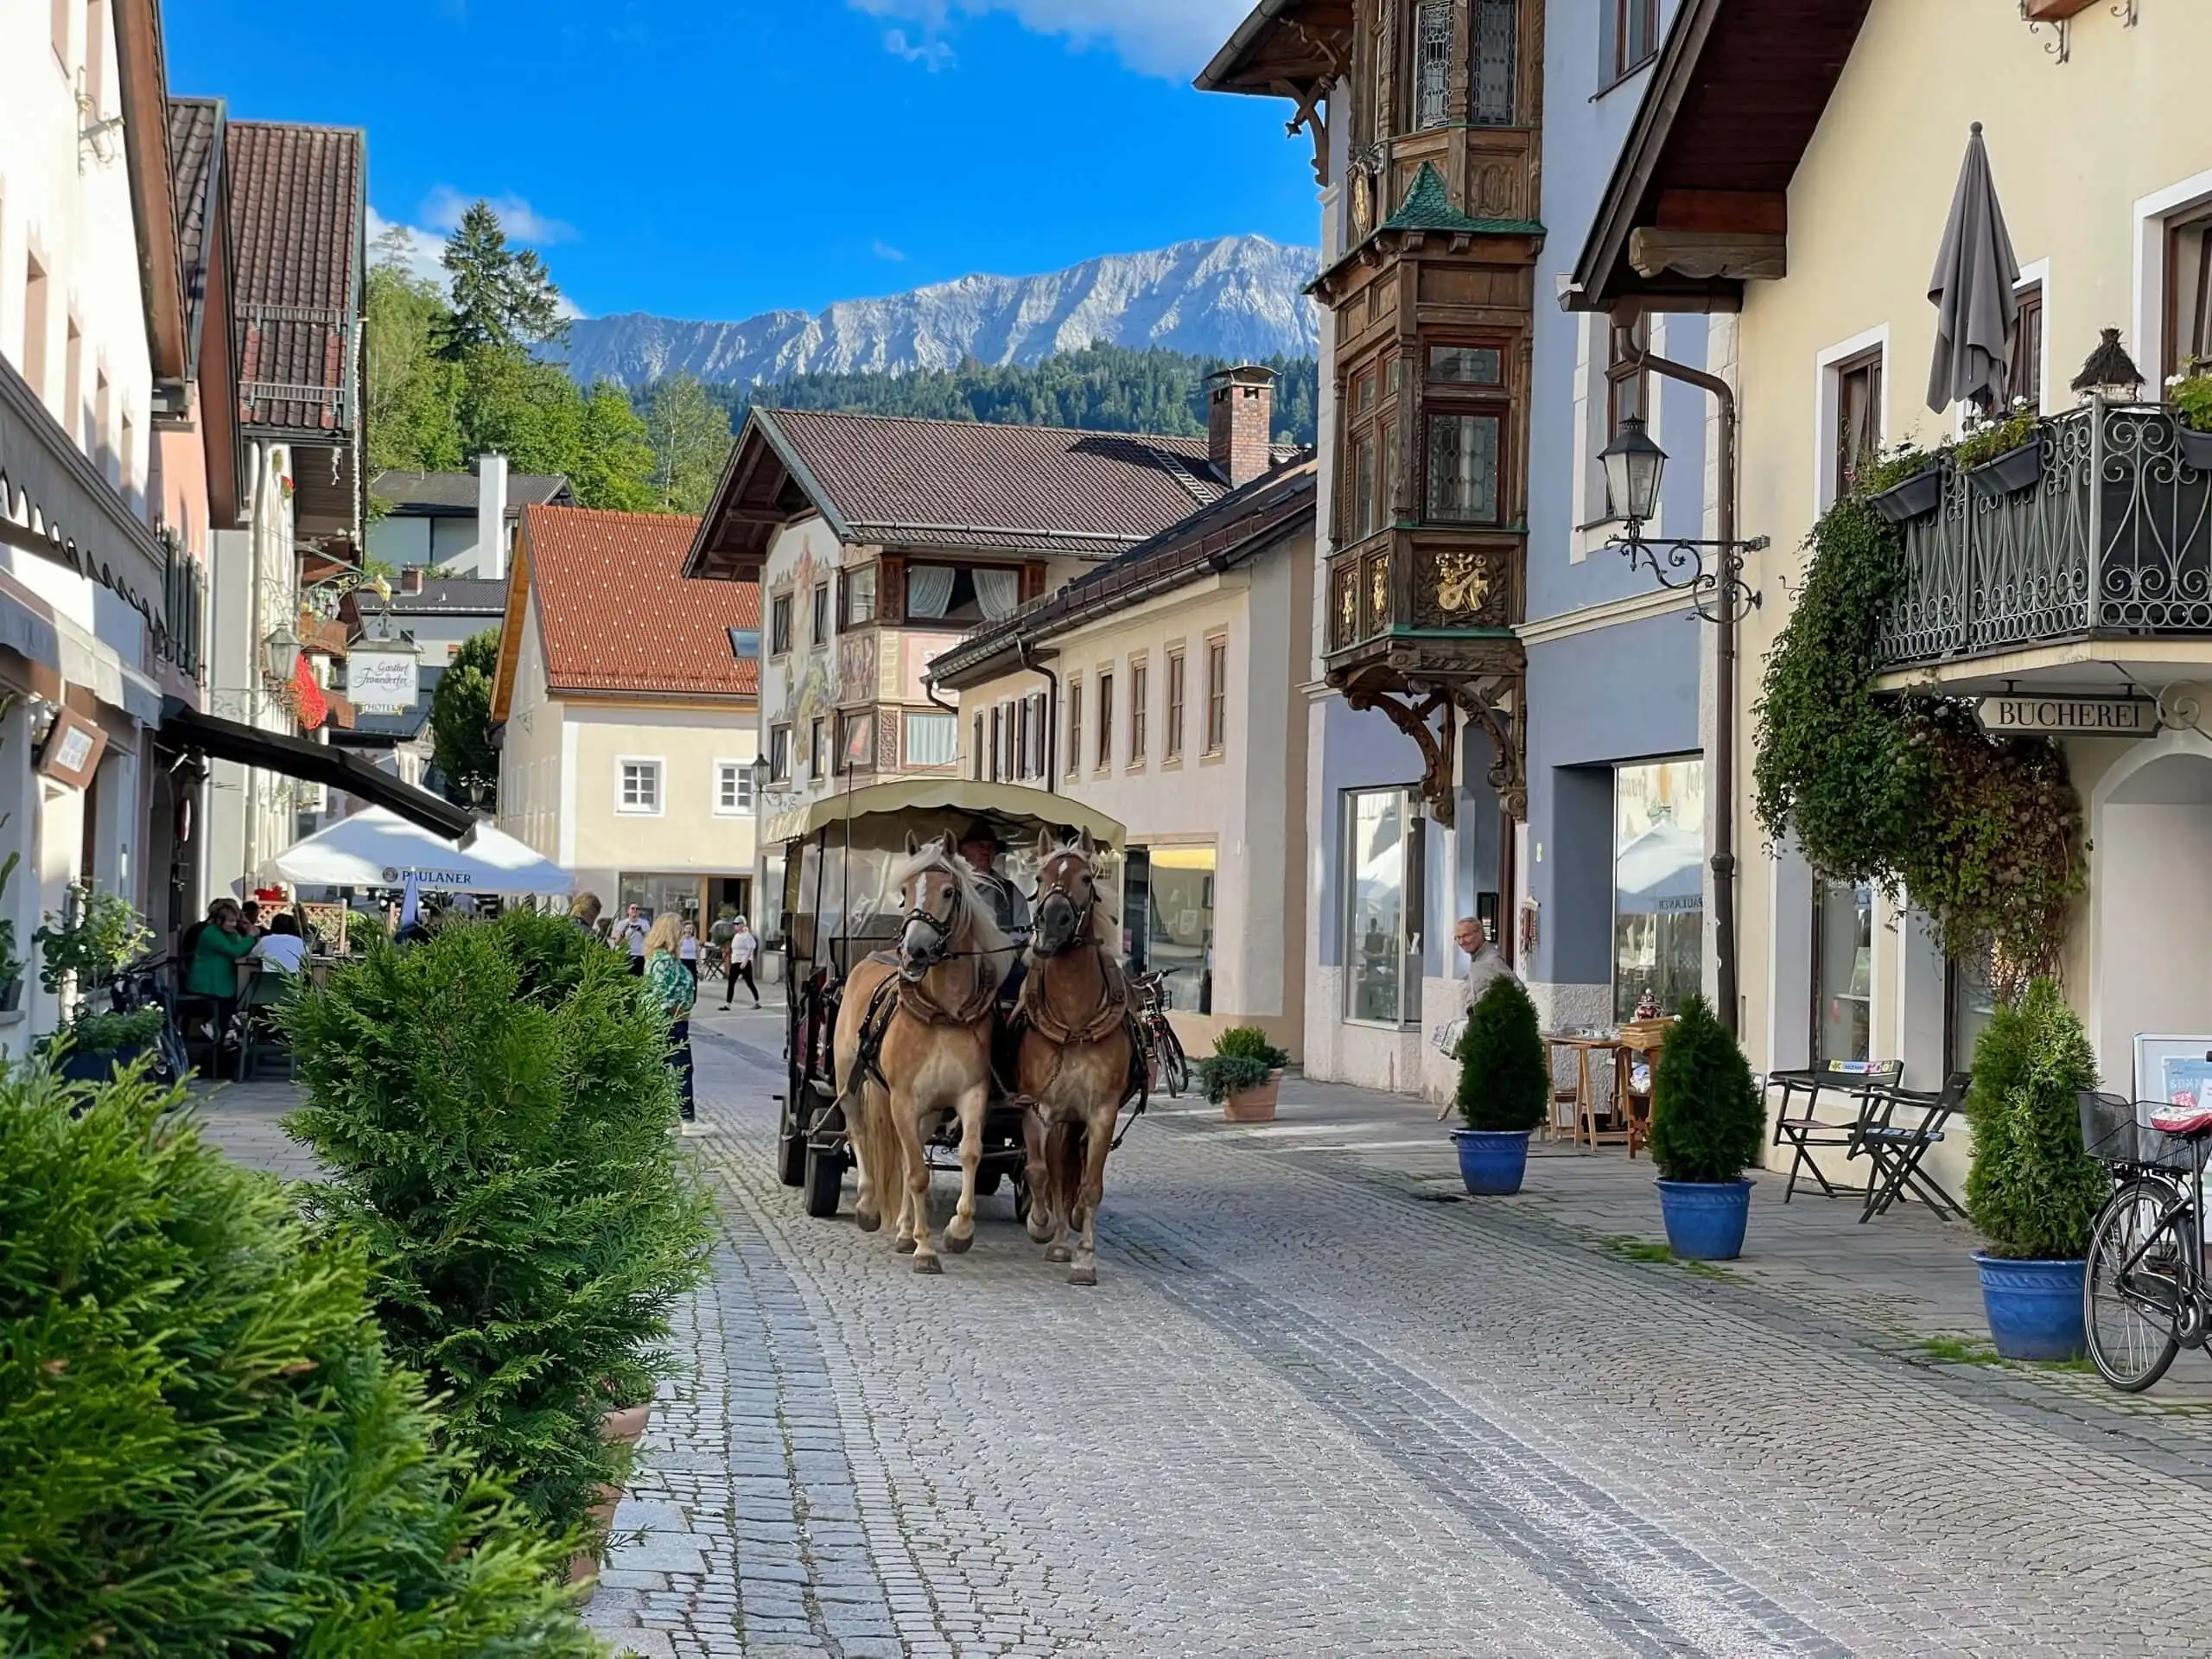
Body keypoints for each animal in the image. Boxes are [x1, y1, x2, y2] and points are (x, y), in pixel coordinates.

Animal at [831, 836, 1008, 1282]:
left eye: (948, 892)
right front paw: (925, 1250)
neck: (943, 1015)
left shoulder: (970, 1094)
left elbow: (970, 1153)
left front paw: (958, 1231)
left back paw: (904, 1229)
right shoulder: (903, 1100)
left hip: (925, 1108)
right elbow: (916, 1173)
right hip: (848, 1080)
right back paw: (868, 1206)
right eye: (905, 891)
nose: (914, 951)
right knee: (859, 1132)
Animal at [1013, 831, 1132, 1282]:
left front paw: (1085, 1255)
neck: (1075, 1020)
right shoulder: (1041, 1108)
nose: (1053, 923)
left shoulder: (1101, 1112)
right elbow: (1041, 1172)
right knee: (1056, 1173)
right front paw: (1043, 1227)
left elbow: (1089, 1185)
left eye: (1085, 877)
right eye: (1040, 877)